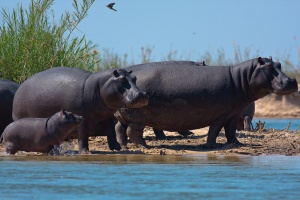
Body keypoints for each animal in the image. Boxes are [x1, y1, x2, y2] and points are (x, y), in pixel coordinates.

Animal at [12, 67, 149, 153]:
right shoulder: (83, 118)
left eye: (134, 78)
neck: (99, 86)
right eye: (121, 80)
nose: (142, 94)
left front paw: (117, 148)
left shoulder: (108, 117)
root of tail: (20, 87)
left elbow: (111, 133)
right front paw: (85, 152)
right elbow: (83, 135)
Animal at [115, 57, 298, 148]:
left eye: (279, 64)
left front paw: (237, 144)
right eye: (268, 67)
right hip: (138, 118)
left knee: (120, 129)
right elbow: (215, 130)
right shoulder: (221, 114)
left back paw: (123, 146)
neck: (241, 78)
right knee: (133, 132)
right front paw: (211, 145)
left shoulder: (233, 114)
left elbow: (231, 131)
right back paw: (145, 146)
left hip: (124, 115)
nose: (291, 80)